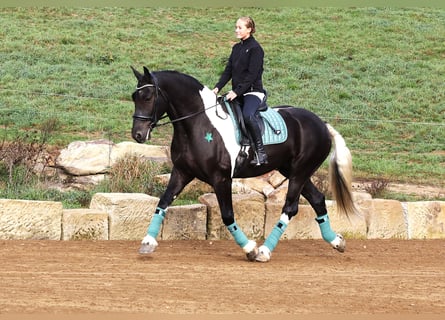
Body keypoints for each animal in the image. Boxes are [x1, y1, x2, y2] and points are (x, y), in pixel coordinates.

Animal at [130, 66, 356, 262]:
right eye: (134, 97)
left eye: (148, 97)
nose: (138, 135)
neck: (198, 125)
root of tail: (322, 124)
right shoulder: (181, 172)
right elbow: (163, 202)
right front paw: (147, 242)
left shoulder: (221, 178)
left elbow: (228, 215)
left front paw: (250, 249)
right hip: (293, 171)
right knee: (317, 199)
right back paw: (336, 242)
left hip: (300, 172)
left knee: (290, 207)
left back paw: (265, 251)